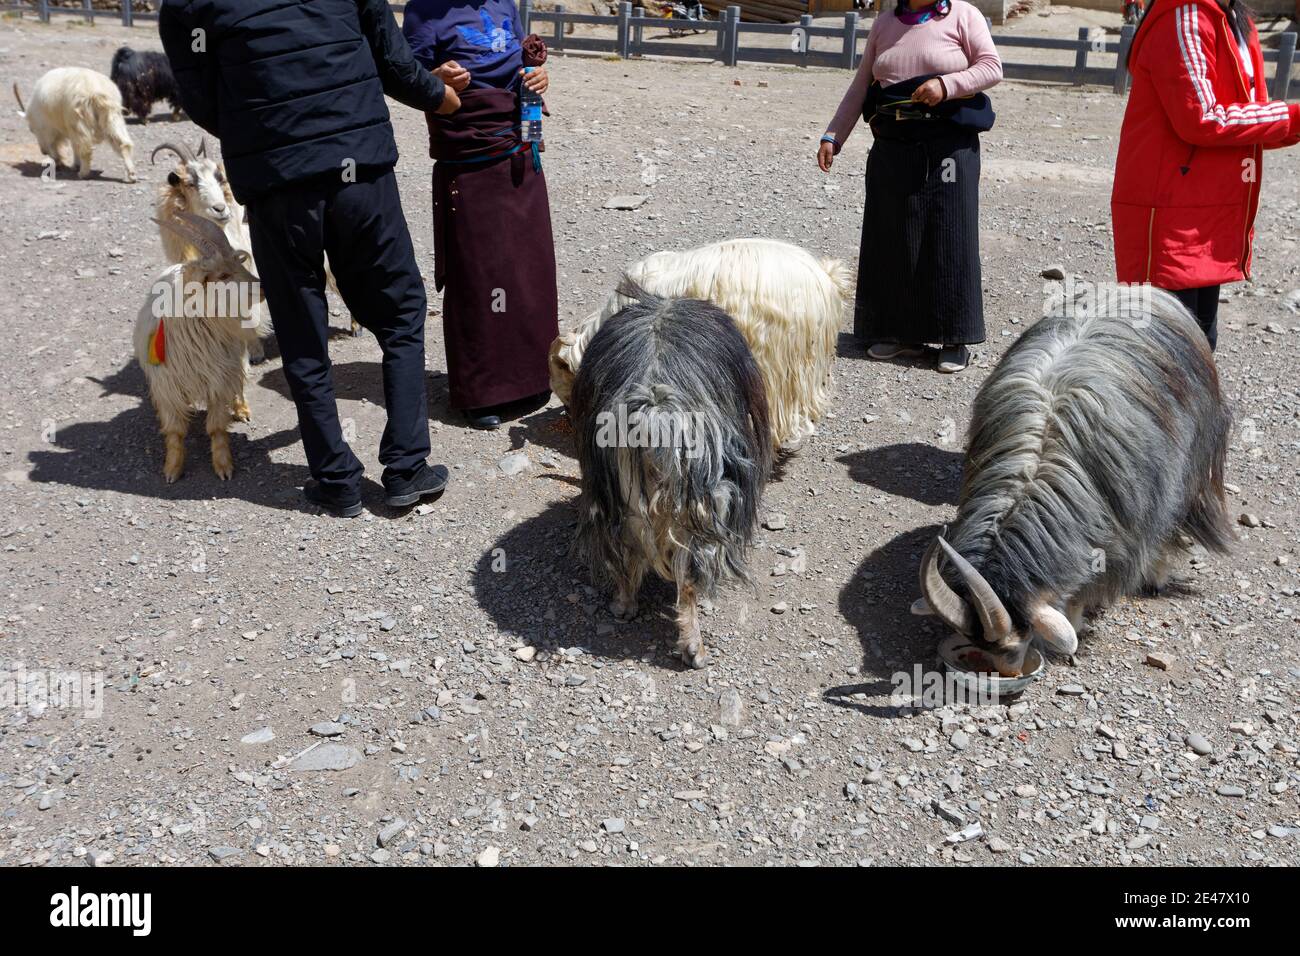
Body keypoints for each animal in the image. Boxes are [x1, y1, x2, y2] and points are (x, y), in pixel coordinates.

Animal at [134, 208, 266, 478]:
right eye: (223, 275)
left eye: (238, 263)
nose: (262, 288)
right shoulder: (168, 386)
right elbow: (175, 430)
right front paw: (172, 468)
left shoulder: (219, 379)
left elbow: (216, 427)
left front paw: (223, 466)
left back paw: (241, 409)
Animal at [569, 283, 769, 671]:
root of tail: (655, 410)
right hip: (704, 503)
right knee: (689, 576)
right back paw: (694, 649)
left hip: (618, 498)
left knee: (625, 551)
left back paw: (624, 606)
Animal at [909, 287, 1232, 676]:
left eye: (1014, 646)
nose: (1009, 673)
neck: (1033, 475)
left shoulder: (1122, 532)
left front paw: (1077, 620)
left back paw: (1156, 575)